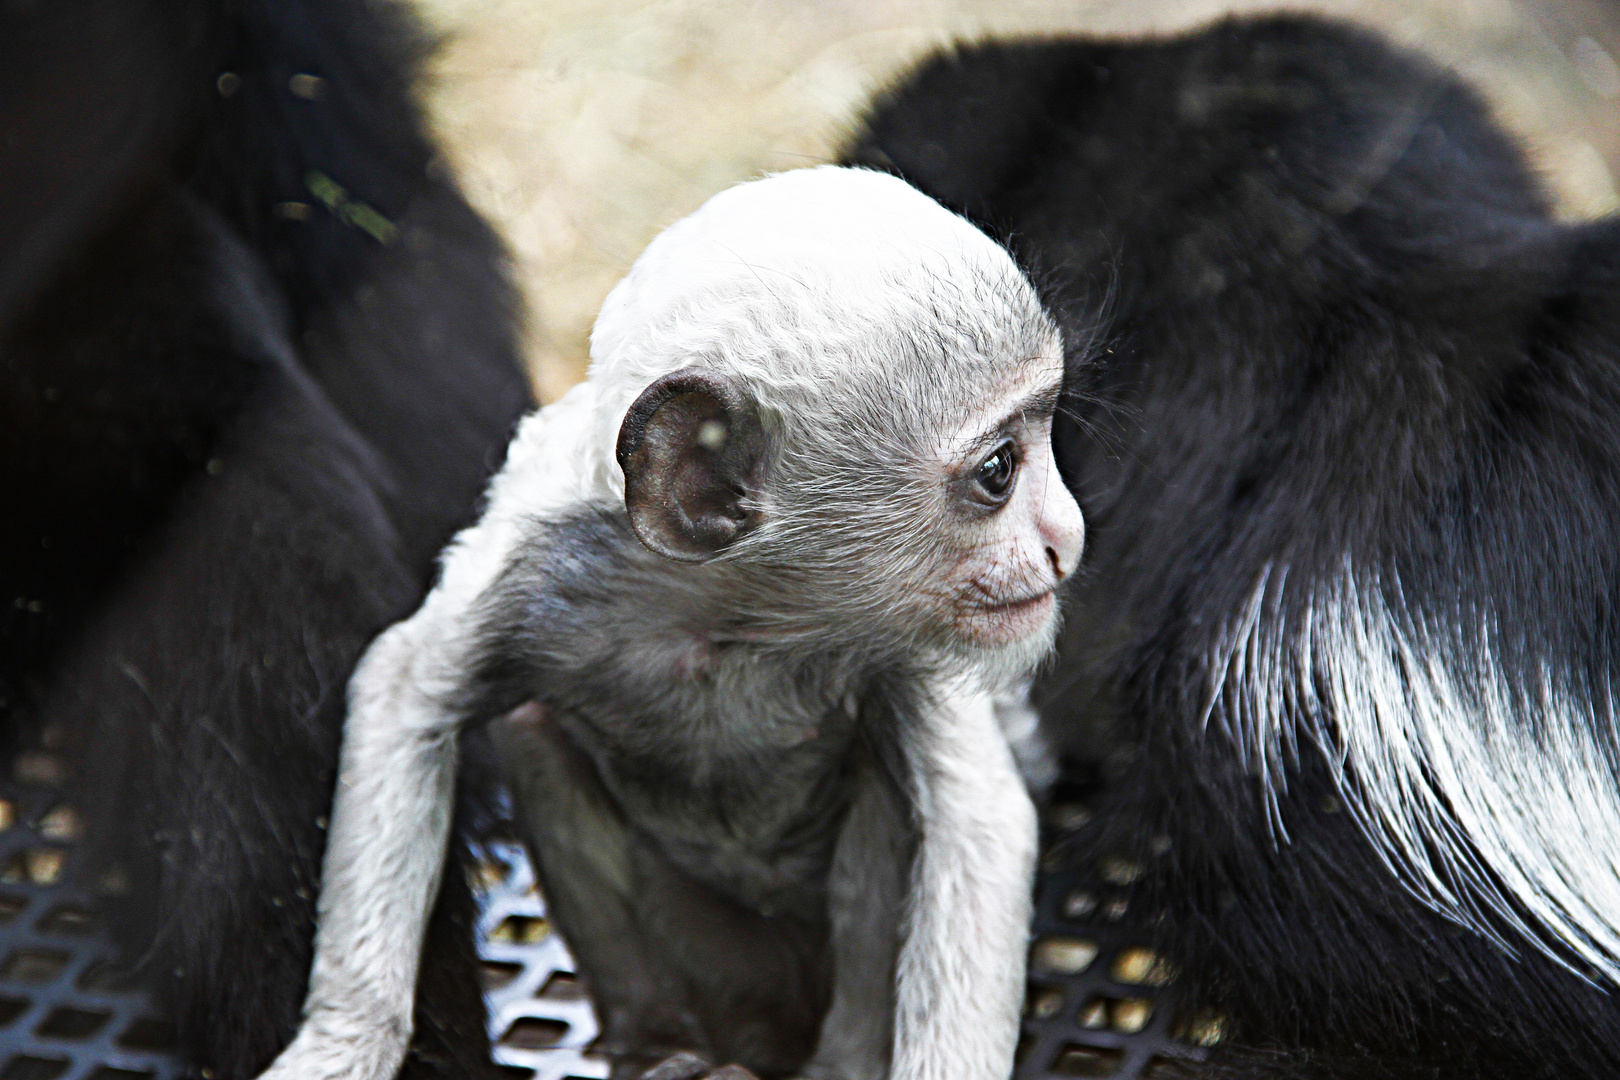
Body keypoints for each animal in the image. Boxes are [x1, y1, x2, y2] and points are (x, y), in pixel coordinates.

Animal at [255, 162, 1088, 1080]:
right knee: (533, 728)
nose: (1068, 536)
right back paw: (658, 1047)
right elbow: (404, 693)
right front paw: (340, 1043)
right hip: (718, 966)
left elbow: (978, 824)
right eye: (999, 471)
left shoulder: (906, 646)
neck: (734, 618)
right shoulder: (542, 563)